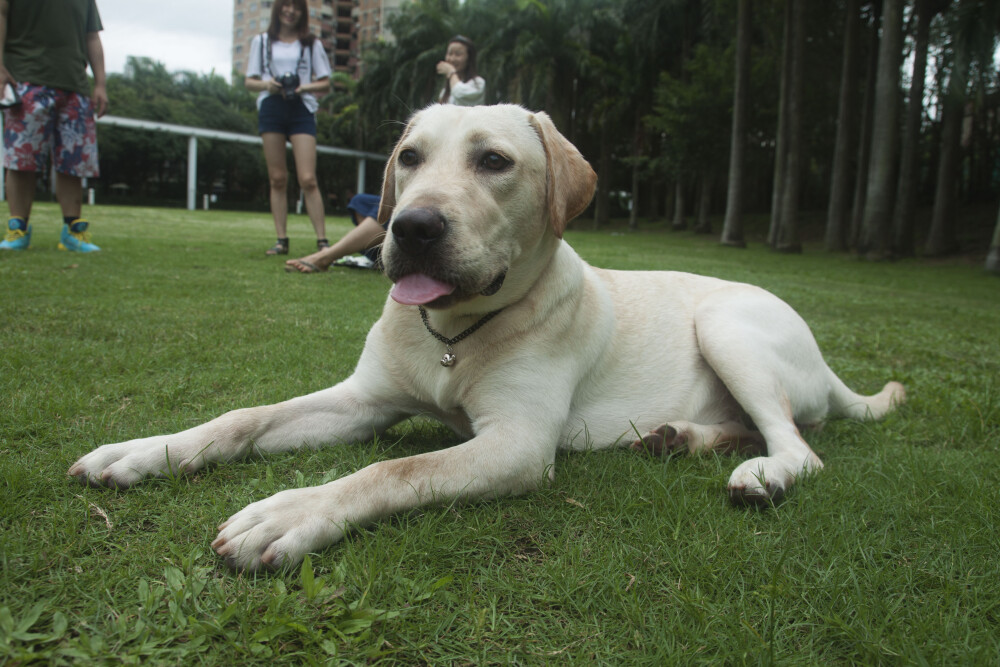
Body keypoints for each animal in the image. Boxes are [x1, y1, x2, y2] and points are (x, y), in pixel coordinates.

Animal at [66, 105, 904, 576]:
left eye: (494, 161)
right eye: (409, 158)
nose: (412, 226)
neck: (456, 332)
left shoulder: (516, 443)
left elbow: (394, 469)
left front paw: (291, 514)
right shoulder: (362, 399)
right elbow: (243, 417)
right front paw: (144, 450)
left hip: (728, 324)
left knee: (798, 445)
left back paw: (764, 473)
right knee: (749, 426)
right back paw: (678, 436)